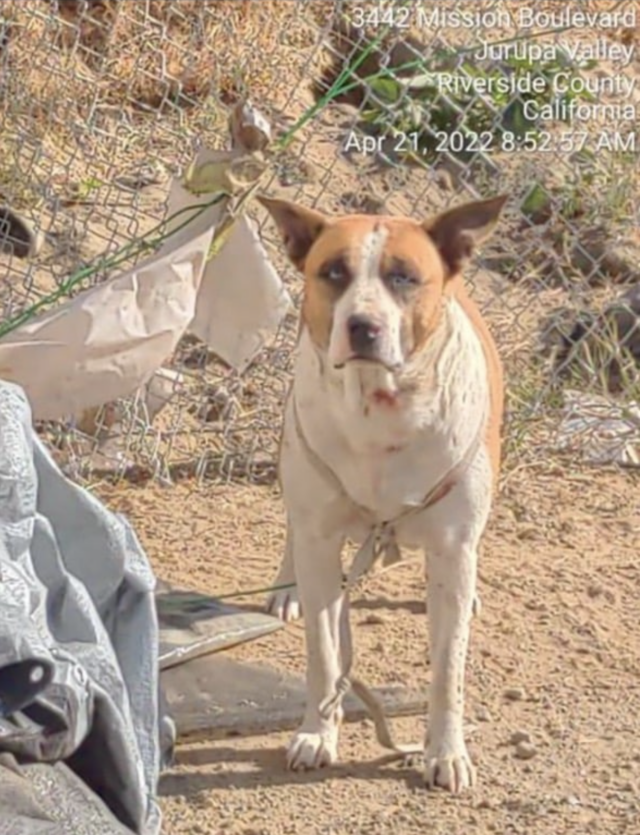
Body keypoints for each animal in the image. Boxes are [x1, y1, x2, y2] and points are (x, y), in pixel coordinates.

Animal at [258, 193, 504, 792]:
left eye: (404, 277)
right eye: (333, 272)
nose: (362, 325)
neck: (380, 411)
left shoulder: (451, 547)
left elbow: (447, 669)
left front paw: (446, 751)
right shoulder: (322, 538)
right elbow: (325, 653)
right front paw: (316, 734)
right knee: (294, 529)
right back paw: (286, 586)